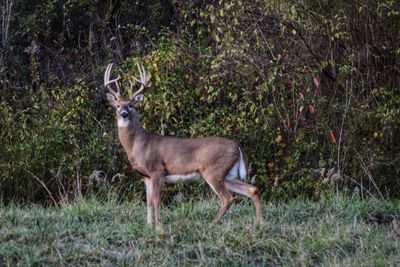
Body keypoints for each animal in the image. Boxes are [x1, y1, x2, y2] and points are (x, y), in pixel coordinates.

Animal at [104, 62, 264, 228]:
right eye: (117, 105)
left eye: (131, 105)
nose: (124, 114)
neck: (139, 144)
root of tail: (238, 146)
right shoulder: (146, 176)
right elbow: (147, 201)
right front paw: (148, 225)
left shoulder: (157, 170)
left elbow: (156, 199)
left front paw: (158, 226)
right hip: (229, 174)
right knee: (252, 189)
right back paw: (260, 222)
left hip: (213, 170)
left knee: (227, 198)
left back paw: (211, 223)